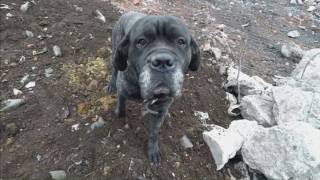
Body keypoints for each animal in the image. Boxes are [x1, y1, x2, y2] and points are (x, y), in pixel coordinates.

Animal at [107, 11, 200, 165]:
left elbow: (154, 132)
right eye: (141, 41)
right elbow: (121, 103)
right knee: (115, 68)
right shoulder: (123, 89)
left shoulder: (159, 110)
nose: (162, 61)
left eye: (180, 41)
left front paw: (153, 149)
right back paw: (111, 85)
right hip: (116, 50)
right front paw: (119, 113)